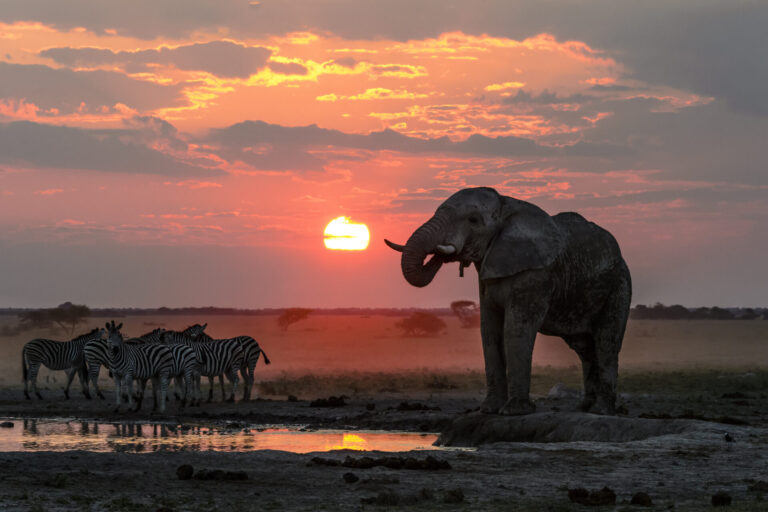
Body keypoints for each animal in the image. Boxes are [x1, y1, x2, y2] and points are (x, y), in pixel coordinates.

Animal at [385, 187, 631, 415]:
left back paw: (600, 411)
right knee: (584, 347)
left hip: (619, 286)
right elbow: (489, 330)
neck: (506, 204)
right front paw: (489, 410)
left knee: (606, 342)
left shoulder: (535, 273)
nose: (443, 254)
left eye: (473, 220)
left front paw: (514, 411)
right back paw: (584, 408)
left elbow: (515, 330)